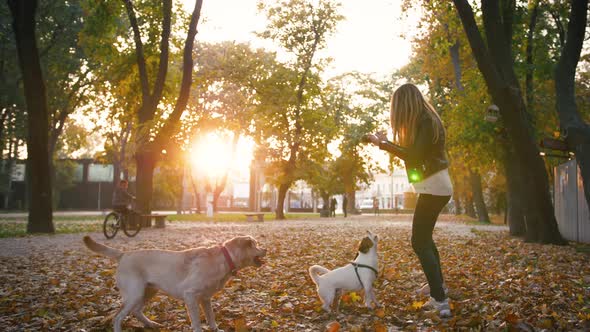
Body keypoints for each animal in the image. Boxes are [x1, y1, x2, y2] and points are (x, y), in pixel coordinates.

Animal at [83, 235, 268, 330]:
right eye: (255, 245)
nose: (266, 249)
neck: (224, 258)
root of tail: (124, 254)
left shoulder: (205, 299)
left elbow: (211, 318)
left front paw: (215, 328)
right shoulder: (190, 296)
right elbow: (197, 323)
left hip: (148, 291)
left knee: (136, 311)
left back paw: (151, 324)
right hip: (135, 294)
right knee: (117, 317)